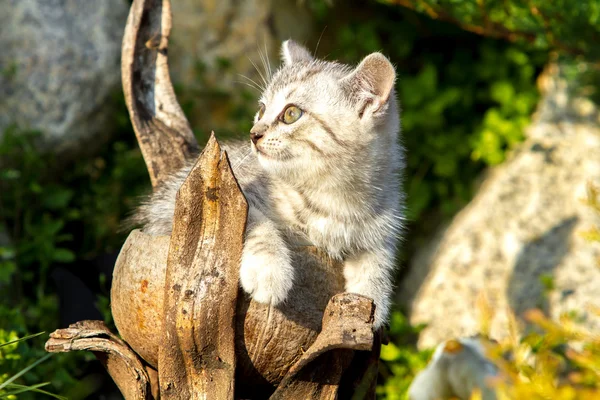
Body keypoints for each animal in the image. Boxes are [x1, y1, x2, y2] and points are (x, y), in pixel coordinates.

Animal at [131, 40, 404, 328]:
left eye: (291, 113)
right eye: (261, 110)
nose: (254, 134)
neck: (331, 196)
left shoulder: (382, 224)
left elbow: (378, 259)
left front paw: (370, 299)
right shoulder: (213, 201)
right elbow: (253, 221)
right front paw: (269, 270)